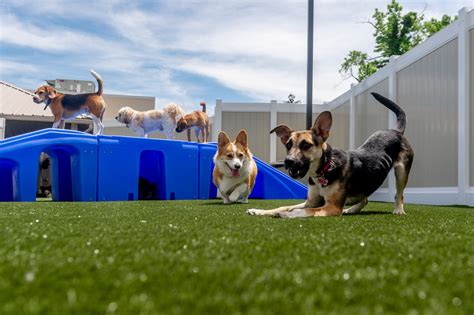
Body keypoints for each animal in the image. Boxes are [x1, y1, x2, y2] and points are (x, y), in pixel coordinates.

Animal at [246, 92, 412, 218]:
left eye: (306, 145)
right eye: (288, 145)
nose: (288, 161)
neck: (324, 169)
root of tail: (395, 131)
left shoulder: (332, 206)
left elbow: (306, 211)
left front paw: (289, 214)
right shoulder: (311, 201)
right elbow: (285, 206)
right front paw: (260, 211)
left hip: (402, 171)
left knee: (400, 194)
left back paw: (398, 210)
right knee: (365, 199)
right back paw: (353, 209)